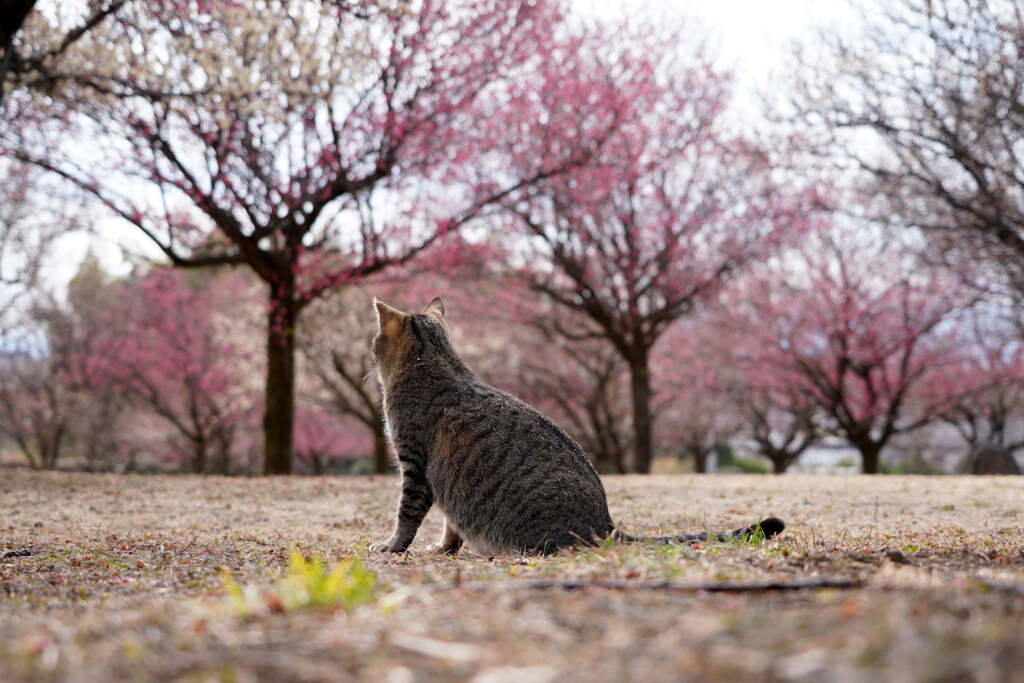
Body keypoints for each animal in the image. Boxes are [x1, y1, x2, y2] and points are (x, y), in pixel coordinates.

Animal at [368, 299, 782, 557]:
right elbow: (451, 526)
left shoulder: (415, 466)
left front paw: (393, 547)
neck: (435, 363)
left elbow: (407, 516)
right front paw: (443, 549)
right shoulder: (442, 483)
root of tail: (606, 523)